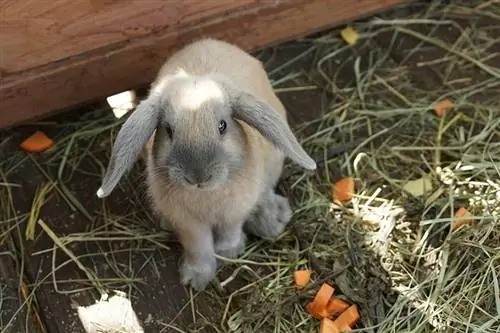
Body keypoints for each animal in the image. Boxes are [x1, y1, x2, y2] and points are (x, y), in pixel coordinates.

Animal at [95, 37, 314, 290]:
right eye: (168, 130)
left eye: (222, 126)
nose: (198, 177)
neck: (206, 196)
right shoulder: (188, 223)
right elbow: (198, 246)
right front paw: (195, 278)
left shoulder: (234, 211)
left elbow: (230, 230)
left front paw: (229, 252)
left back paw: (272, 218)